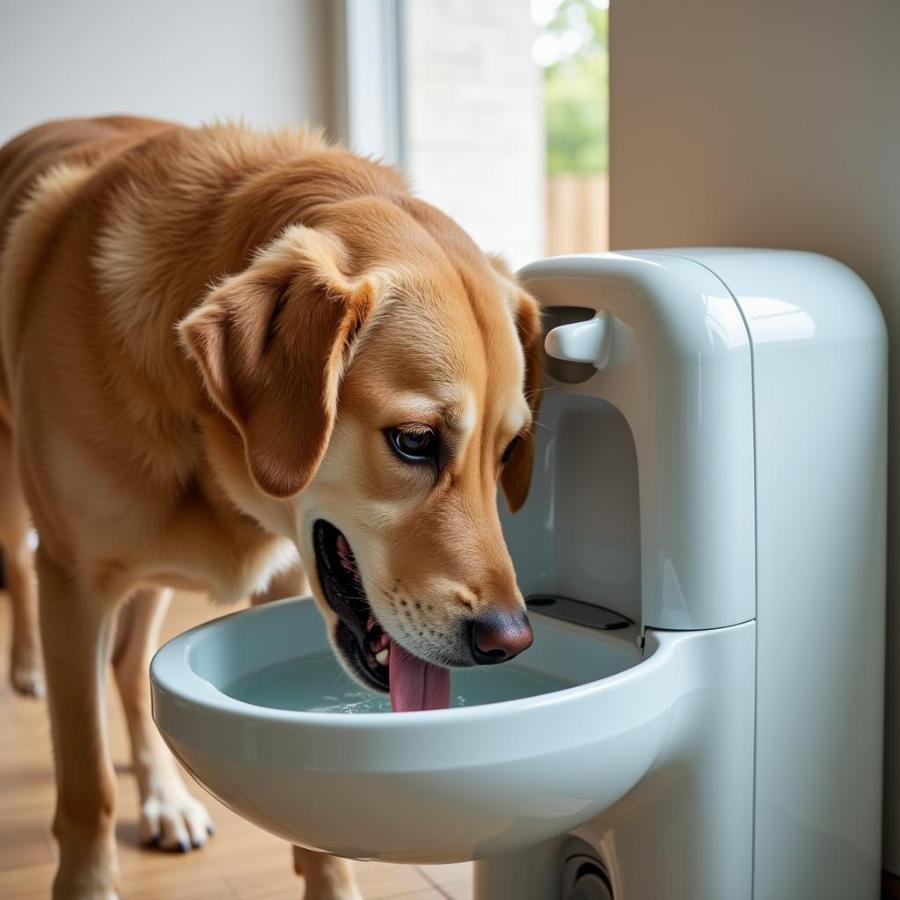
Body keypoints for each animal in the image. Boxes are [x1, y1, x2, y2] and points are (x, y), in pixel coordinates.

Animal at [0, 118, 536, 900]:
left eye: (508, 450)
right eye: (414, 440)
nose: (510, 641)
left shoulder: (283, 578)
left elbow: (315, 829)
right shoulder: (74, 584)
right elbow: (88, 787)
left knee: (129, 666)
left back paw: (164, 797)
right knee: (20, 568)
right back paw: (29, 670)